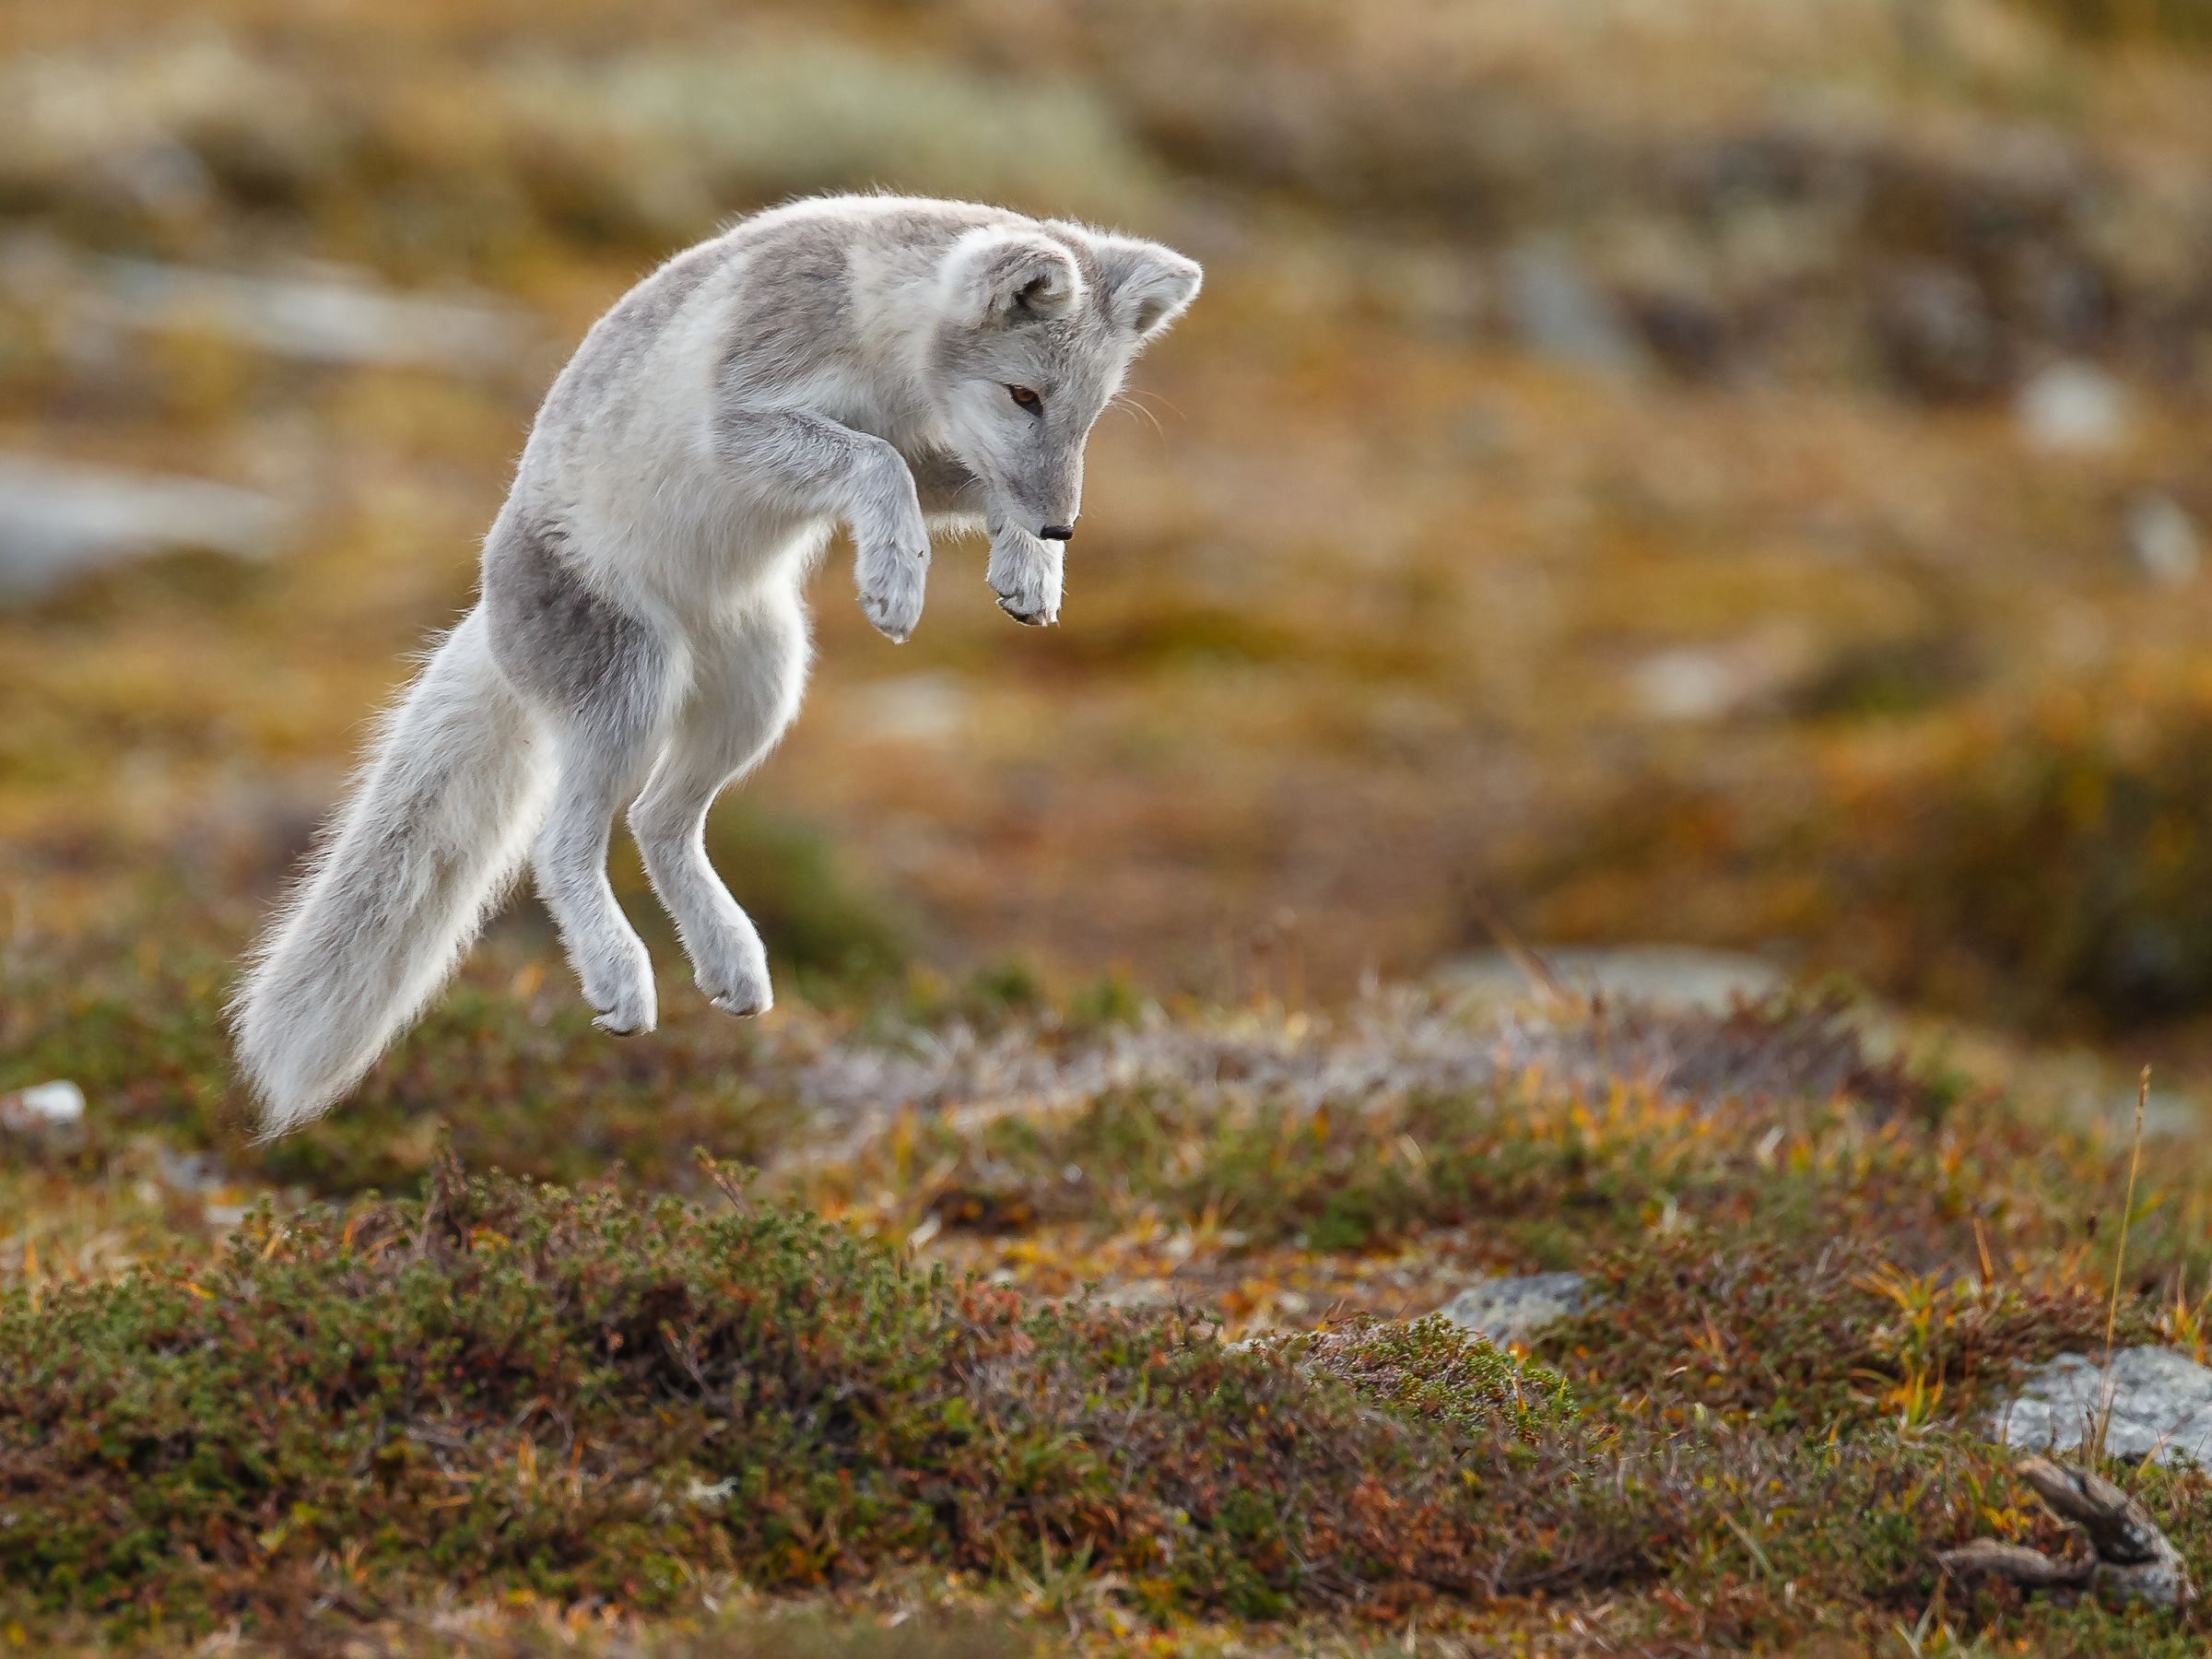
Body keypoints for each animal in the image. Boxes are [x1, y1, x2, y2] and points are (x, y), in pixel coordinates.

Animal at [230, 195, 1202, 1134]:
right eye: (1023, 395)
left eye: (1089, 416)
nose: (1062, 526)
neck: (879, 335)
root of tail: (491, 618)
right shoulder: (743, 413)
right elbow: (877, 461)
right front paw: (897, 575)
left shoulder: (928, 446)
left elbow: (949, 475)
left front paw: (1026, 570)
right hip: (633, 681)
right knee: (565, 843)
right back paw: (620, 973)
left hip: (764, 684)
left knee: (659, 821)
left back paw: (730, 958)